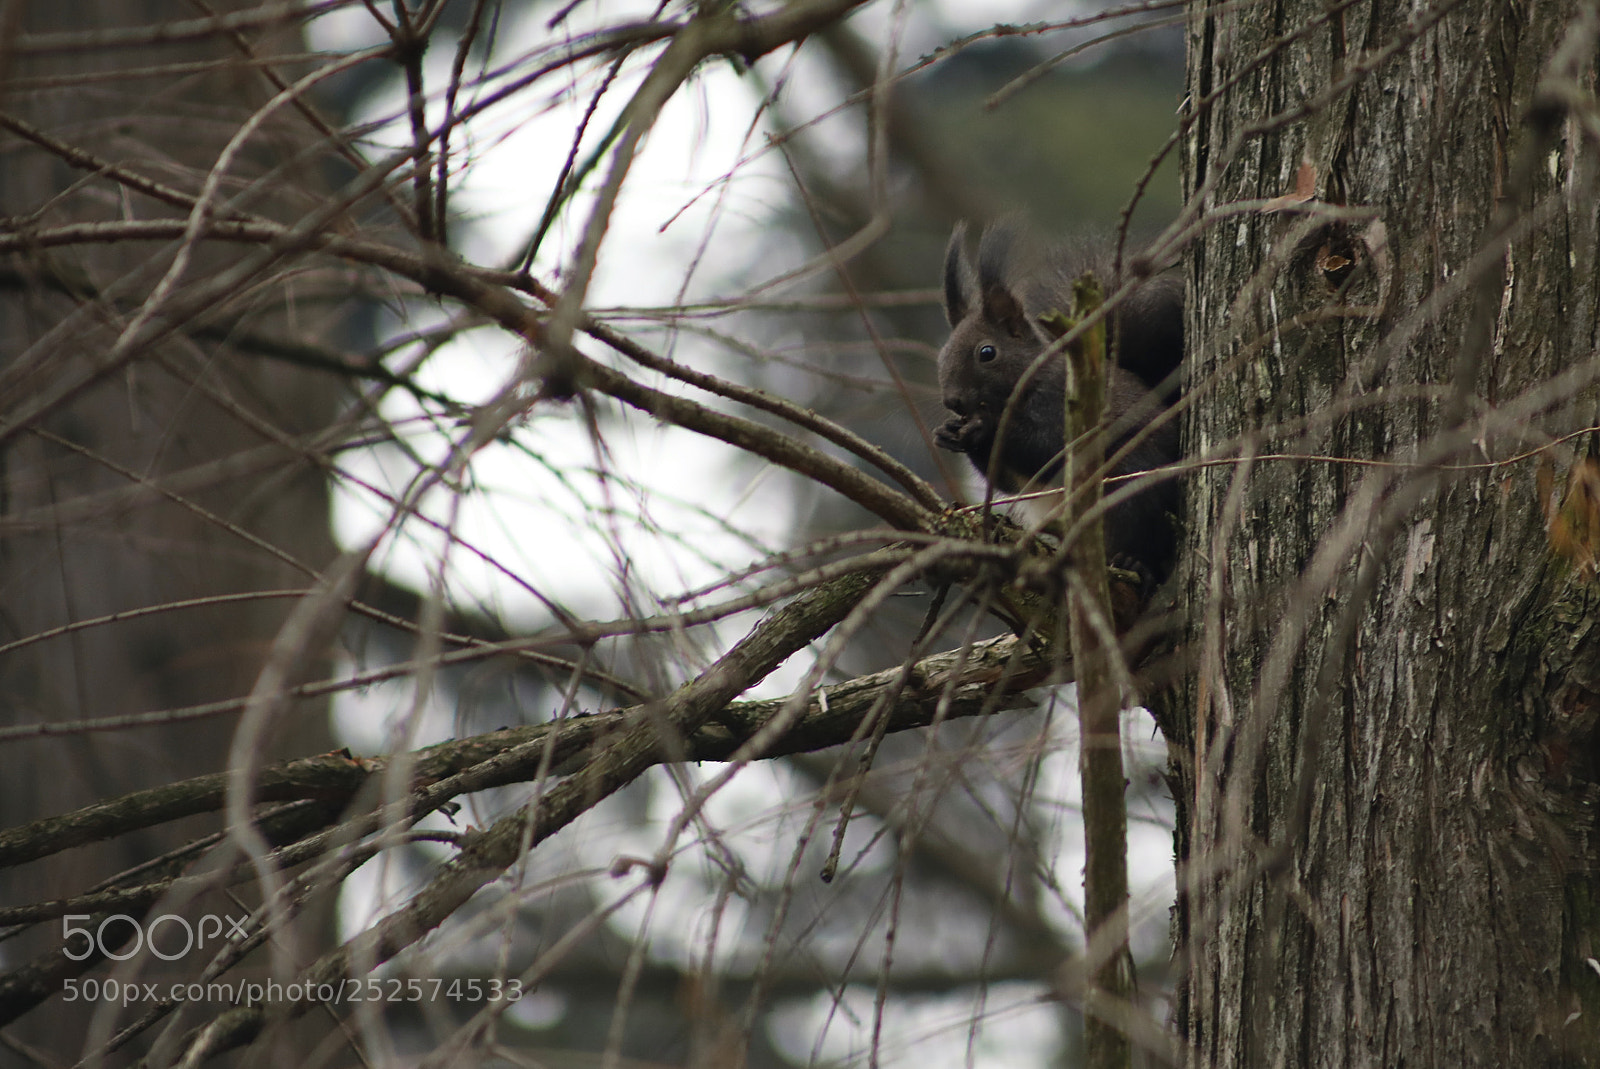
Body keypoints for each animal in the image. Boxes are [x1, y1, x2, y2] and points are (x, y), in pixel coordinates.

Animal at [933, 221, 1183, 588]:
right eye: (942, 355)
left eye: (986, 352)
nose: (952, 400)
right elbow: (1011, 480)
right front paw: (948, 433)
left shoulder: (1061, 405)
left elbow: (1050, 447)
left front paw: (986, 428)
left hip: (1136, 486)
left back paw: (1134, 562)